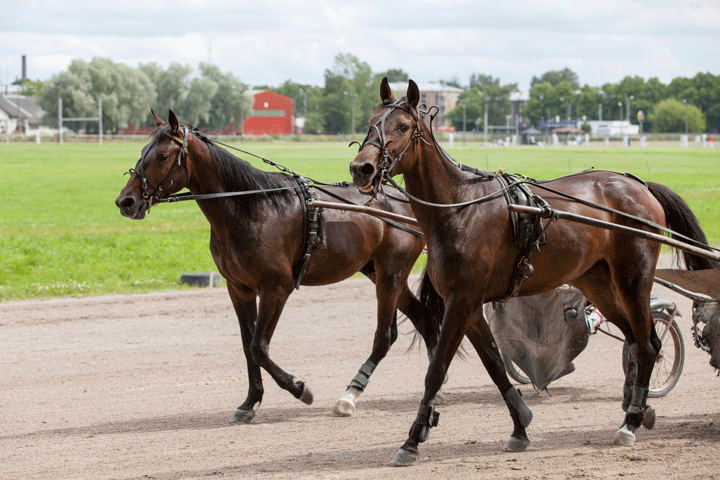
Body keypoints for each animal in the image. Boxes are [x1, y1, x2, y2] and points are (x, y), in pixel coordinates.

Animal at [115, 109, 443, 422]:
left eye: (162, 155)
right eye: (142, 150)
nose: (126, 202)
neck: (251, 207)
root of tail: (408, 201)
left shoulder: (276, 288)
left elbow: (259, 348)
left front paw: (300, 389)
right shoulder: (239, 289)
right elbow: (247, 347)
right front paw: (249, 402)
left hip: (391, 272)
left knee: (385, 336)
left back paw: (350, 397)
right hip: (378, 272)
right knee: (424, 318)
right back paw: (434, 388)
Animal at [349, 78, 720, 466]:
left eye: (403, 126)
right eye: (371, 122)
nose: (362, 168)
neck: (459, 207)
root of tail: (641, 185)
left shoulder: (461, 301)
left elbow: (436, 371)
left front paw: (412, 439)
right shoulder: (469, 304)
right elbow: (496, 367)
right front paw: (520, 427)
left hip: (633, 279)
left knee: (648, 344)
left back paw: (630, 423)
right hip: (598, 282)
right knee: (638, 341)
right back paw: (639, 408)